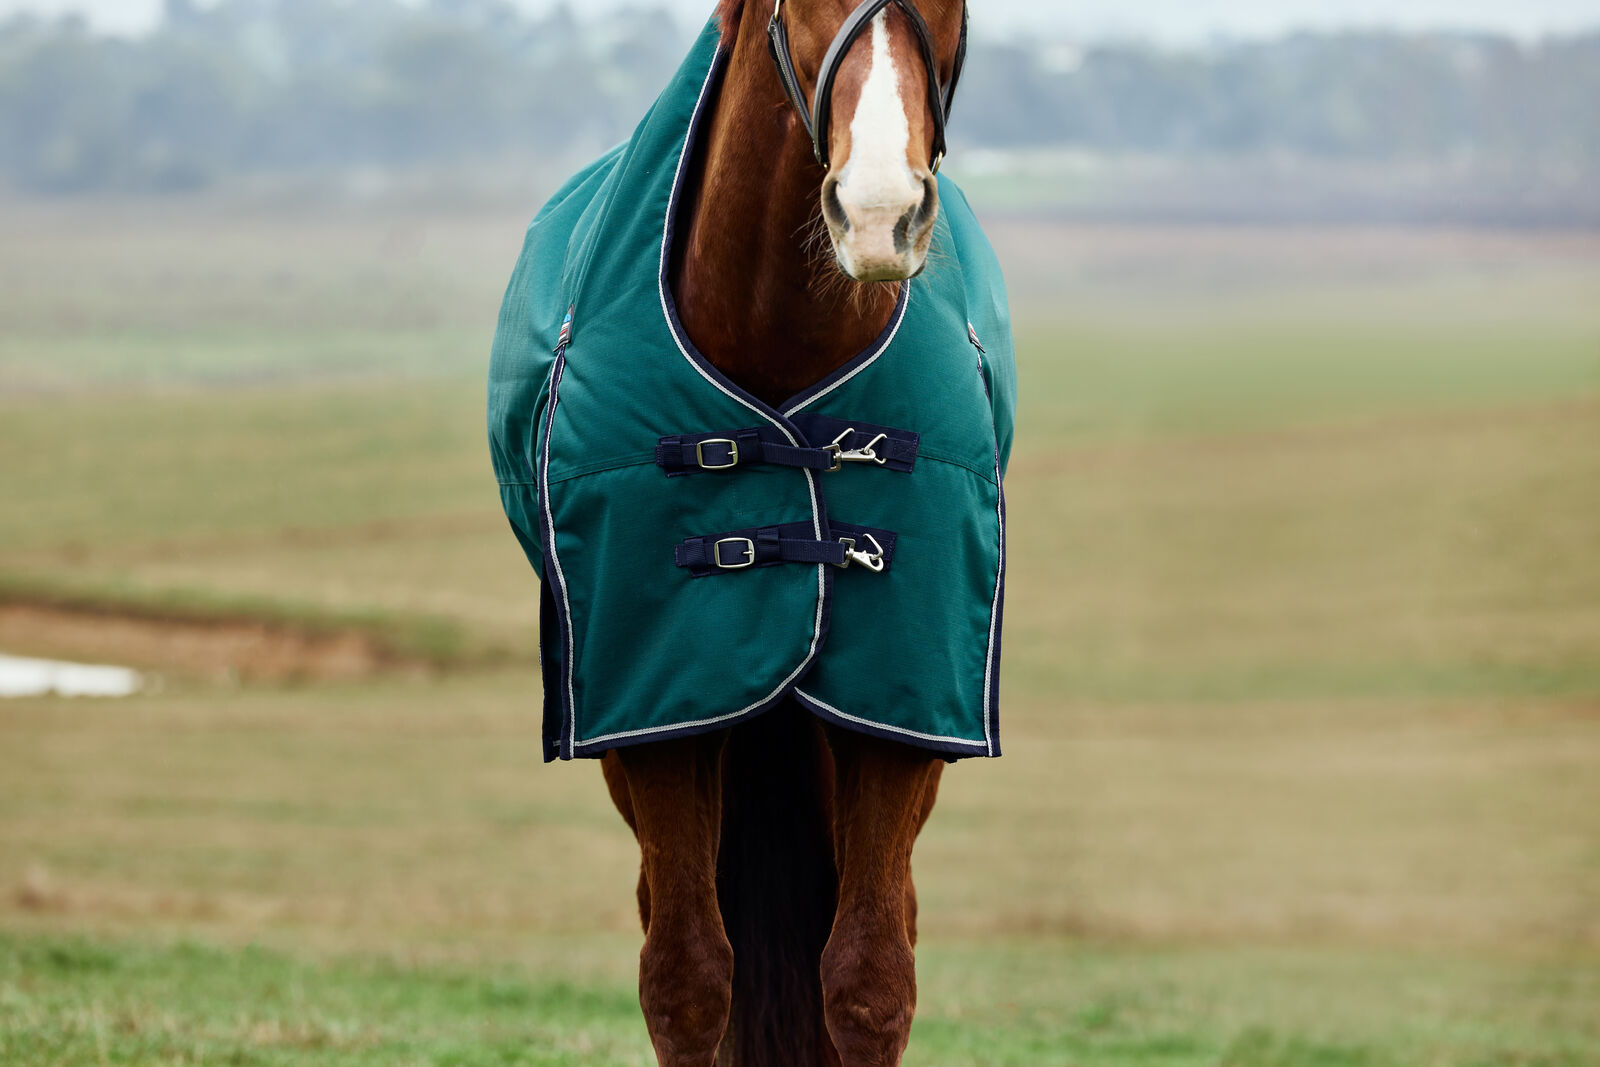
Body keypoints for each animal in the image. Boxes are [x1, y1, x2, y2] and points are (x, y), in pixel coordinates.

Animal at [488, 2, 1014, 1064]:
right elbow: (687, 980)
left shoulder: (903, 701)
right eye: (796, 8)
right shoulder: (655, 706)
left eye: (957, 8)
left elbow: (868, 979)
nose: (879, 213)